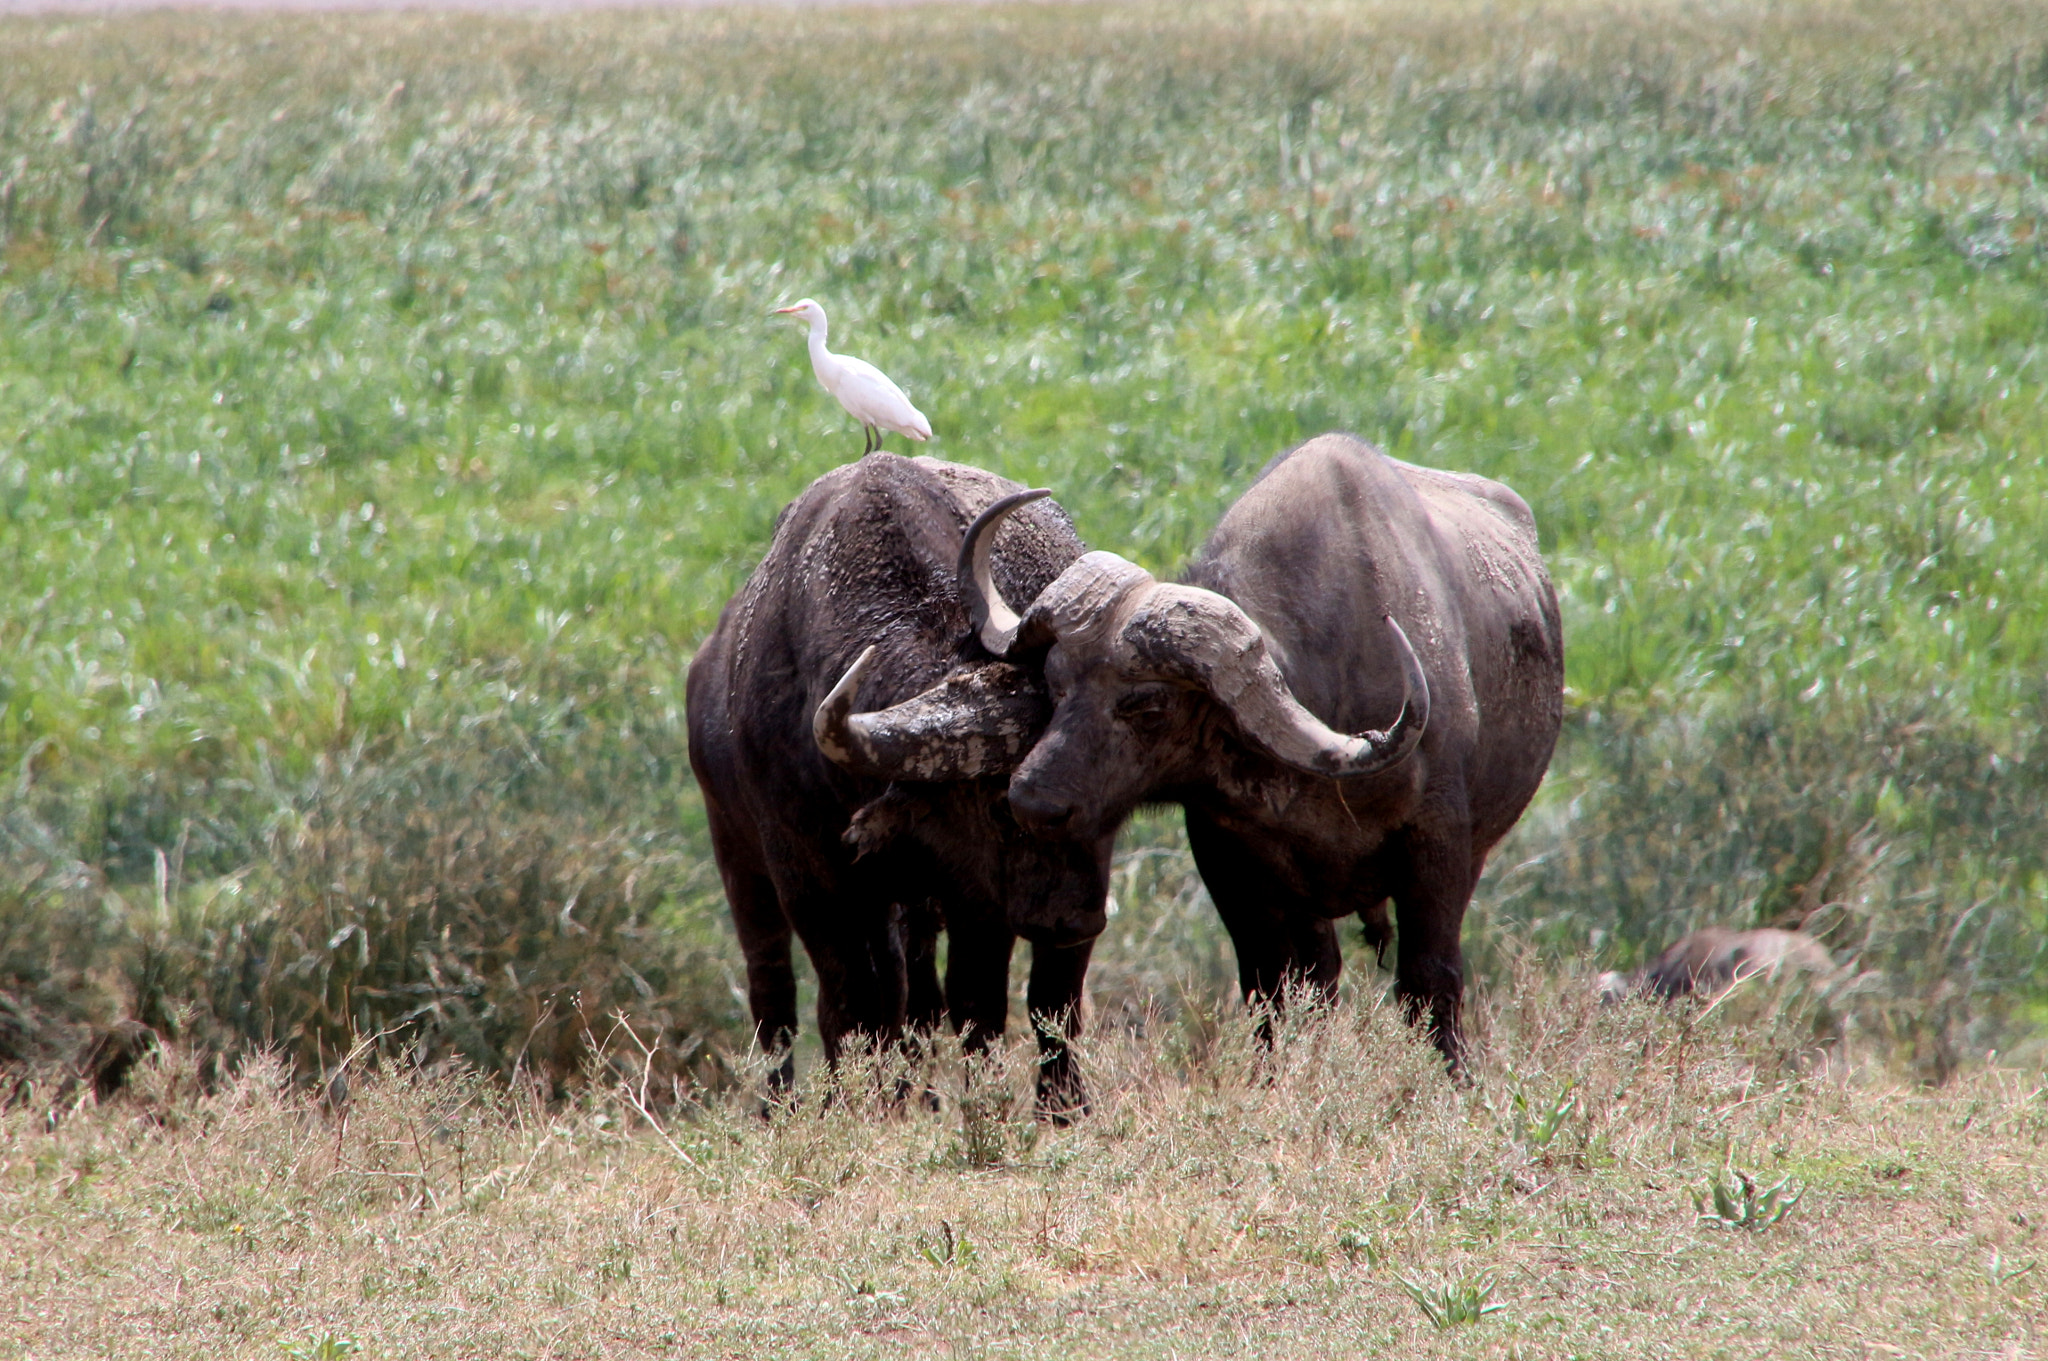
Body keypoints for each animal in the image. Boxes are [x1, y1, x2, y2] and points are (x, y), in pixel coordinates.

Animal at [686, 453, 1111, 1115]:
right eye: (1000, 805)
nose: (1079, 915)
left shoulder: (976, 896)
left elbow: (976, 1005)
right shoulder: (808, 878)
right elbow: (847, 1004)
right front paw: (845, 1105)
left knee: (1022, 996)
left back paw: (1054, 1103)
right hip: (741, 862)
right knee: (777, 993)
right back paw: (784, 1105)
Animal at [834, 434, 1564, 1066]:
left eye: (1149, 706)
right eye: (1055, 681)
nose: (1031, 799)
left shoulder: (1441, 849)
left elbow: (1429, 982)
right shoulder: (1233, 861)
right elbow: (1271, 991)